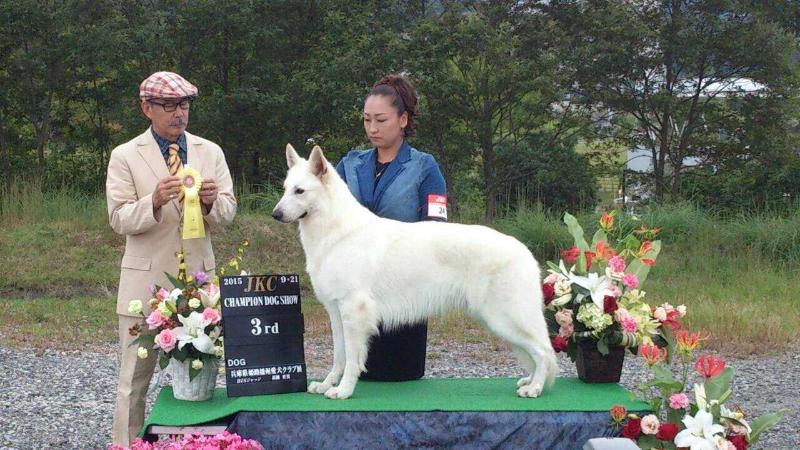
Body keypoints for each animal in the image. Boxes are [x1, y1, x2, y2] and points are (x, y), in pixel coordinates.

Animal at [270, 145, 556, 400]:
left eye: (299, 191)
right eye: (285, 189)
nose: (275, 214)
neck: (335, 230)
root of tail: (524, 251)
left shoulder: (354, 311)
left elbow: (352, 358)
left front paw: (344, 391)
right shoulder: (336, 313)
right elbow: (339, 355)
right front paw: (327, 384)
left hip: (504, 318)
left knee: (543, 351)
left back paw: (535, 388)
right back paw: (530, 381)